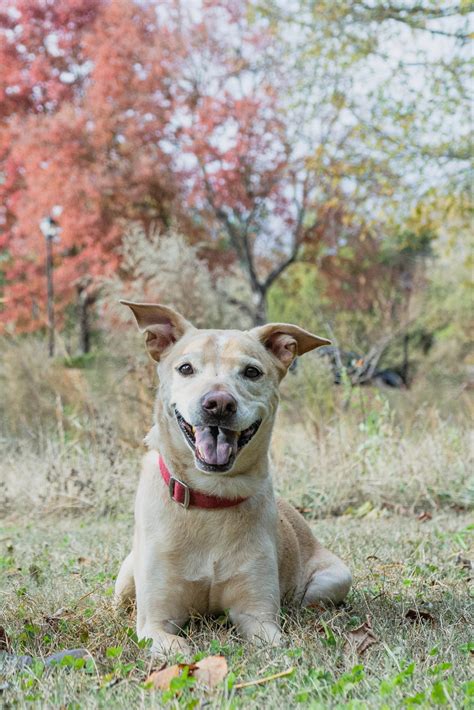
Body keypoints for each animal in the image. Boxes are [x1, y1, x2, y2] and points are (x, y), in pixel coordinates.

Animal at [115, 300, 352, 656]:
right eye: (186, 368)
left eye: (251, 372)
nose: (218, 403)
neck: (211, 498)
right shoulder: (156, 624)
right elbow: (179, 649)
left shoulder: (258, 616)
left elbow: (274, 642)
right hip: (126, 579)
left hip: (336, 578)